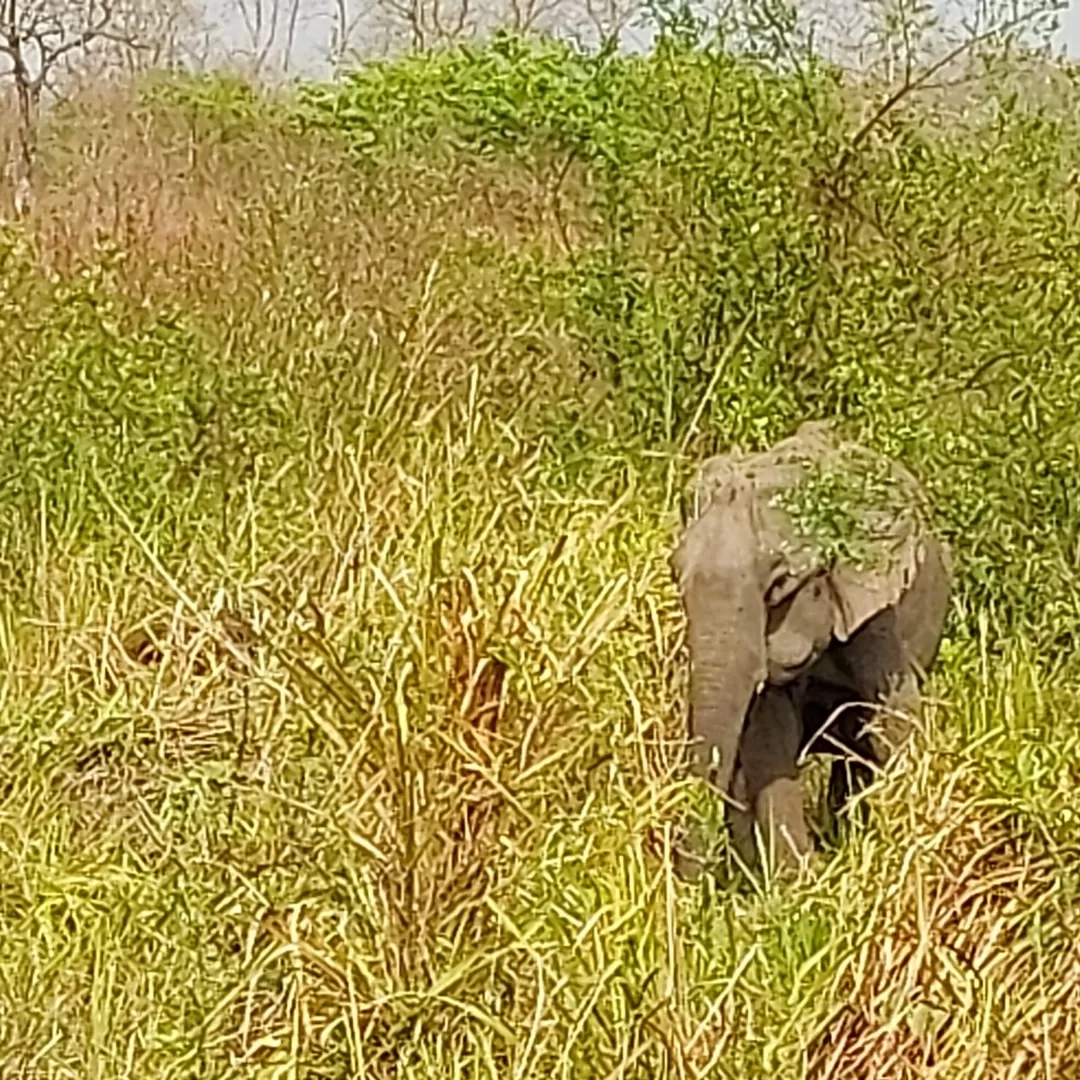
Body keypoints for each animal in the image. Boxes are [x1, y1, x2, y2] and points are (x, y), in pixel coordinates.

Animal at [669, 421, 950, 876]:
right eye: (674, 573)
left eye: (780, 582)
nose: (687, 882)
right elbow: (770, 738)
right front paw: (800, 880)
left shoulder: (875, 609)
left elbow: (893, 716)